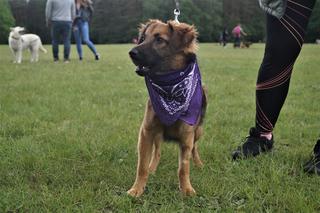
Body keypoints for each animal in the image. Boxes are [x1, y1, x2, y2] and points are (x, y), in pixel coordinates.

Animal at [127, 19, 208, 196]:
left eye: (159, 39)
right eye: (143, 38)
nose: (131, 53)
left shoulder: (187, 135)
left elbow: (183, 168)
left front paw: (186, 189)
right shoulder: (146, 131)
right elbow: (142, 166)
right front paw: (137, 189)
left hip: (198, 131)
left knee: (195, 148)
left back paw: (199, 164)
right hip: (158, 134)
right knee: (157, 152)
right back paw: (153, 168)